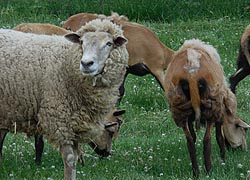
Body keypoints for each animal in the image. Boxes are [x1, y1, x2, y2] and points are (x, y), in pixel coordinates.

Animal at [0, 18, 129, 180]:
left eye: (109, 43)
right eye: (81, 42)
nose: (86, 64)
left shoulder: (73, 125)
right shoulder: (60, 120)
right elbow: (69, 159)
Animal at [164, 38, 250, 178]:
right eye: (243, 130)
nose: (242, 150)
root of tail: (192, 72)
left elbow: (193, 137)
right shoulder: (220, 111)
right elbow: (219, 137)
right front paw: (223, 159)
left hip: (179, 106)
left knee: (190, 142)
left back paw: (196, 173)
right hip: (211, 105)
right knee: (207, 140)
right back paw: (209, 170)